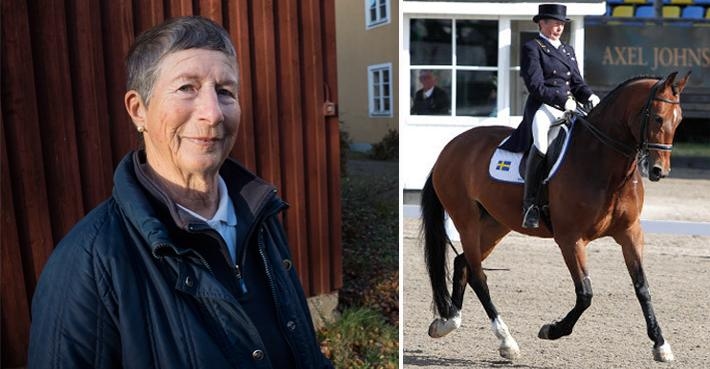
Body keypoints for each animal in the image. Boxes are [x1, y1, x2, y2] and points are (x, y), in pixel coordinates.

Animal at [422, 70, 688, 360]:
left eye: (679, 120)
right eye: (658, 117)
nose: (660, 170)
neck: (602, 163)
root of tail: (450, 148)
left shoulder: (630, 232)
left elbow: (642, 288)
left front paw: (661, 344)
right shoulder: (570, 239)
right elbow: (585, 294)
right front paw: (552, 330)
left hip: (495, 224)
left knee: (463, 264)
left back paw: (449, 322)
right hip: (466, 221)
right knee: (479, 277)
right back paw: (506, 341)